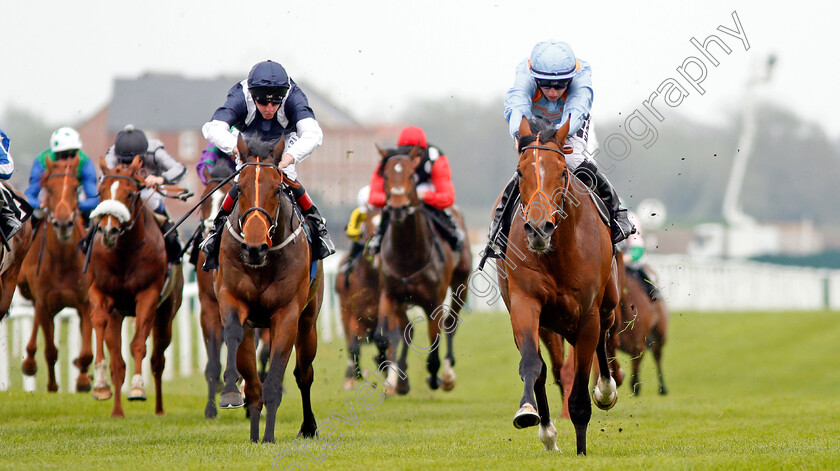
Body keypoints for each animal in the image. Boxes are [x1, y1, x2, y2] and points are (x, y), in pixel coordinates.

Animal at [17, 157, 93, 392]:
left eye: (76, 188)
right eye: (49, 188)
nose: (63, 223)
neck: (62, 259)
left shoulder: (85, 302)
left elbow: (87, 352)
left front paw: (83, 381)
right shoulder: (45, 302)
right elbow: (50, 350)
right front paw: (51, 385)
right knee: (35, 322)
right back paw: (29, 361)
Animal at [86, 156, 182, 416]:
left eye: (130, 193)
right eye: (101, 191)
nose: (108, 231)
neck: (124, 252)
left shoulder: (148, 294)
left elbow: (138, 344)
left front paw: (138, 387)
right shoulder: (101, 292)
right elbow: (99, 322)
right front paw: (100, 384)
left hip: (166, 313)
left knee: (158, 359)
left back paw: (158, 409)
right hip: (119, 315)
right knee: (118, 362)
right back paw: (117, 411)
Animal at [215, 136, 324, 442]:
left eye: (277, 188)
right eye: (239, 187)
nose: (254, 248)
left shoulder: (287, 314)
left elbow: (275, 379)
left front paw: (269, 437)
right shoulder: (232, 298)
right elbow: (234, 335)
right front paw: (231, 393)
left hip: (308, 321)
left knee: (303, 373)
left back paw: (307, 426)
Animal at [376, 147, 472, 394]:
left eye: (411, 175)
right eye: (386, 176)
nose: (398, 207)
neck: (408, 254)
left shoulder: (433, 301)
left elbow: (435, 338)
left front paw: (435, 374)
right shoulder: (391, 295)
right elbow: (389, 335)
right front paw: (391, 377)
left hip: (461, 283)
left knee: (450, 324)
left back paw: (446, 375)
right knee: (406, 330)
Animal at [496, 116, 620, 456]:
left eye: (562, 171)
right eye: (521, 172)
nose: (538, 229)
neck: (557, 253)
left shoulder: (588, 314)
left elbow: (579, 393)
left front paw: (581, 450)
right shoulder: (524, 302)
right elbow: (531, 364)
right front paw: (530, 415)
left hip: (609, 302)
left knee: (604, 334)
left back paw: (606, 390)